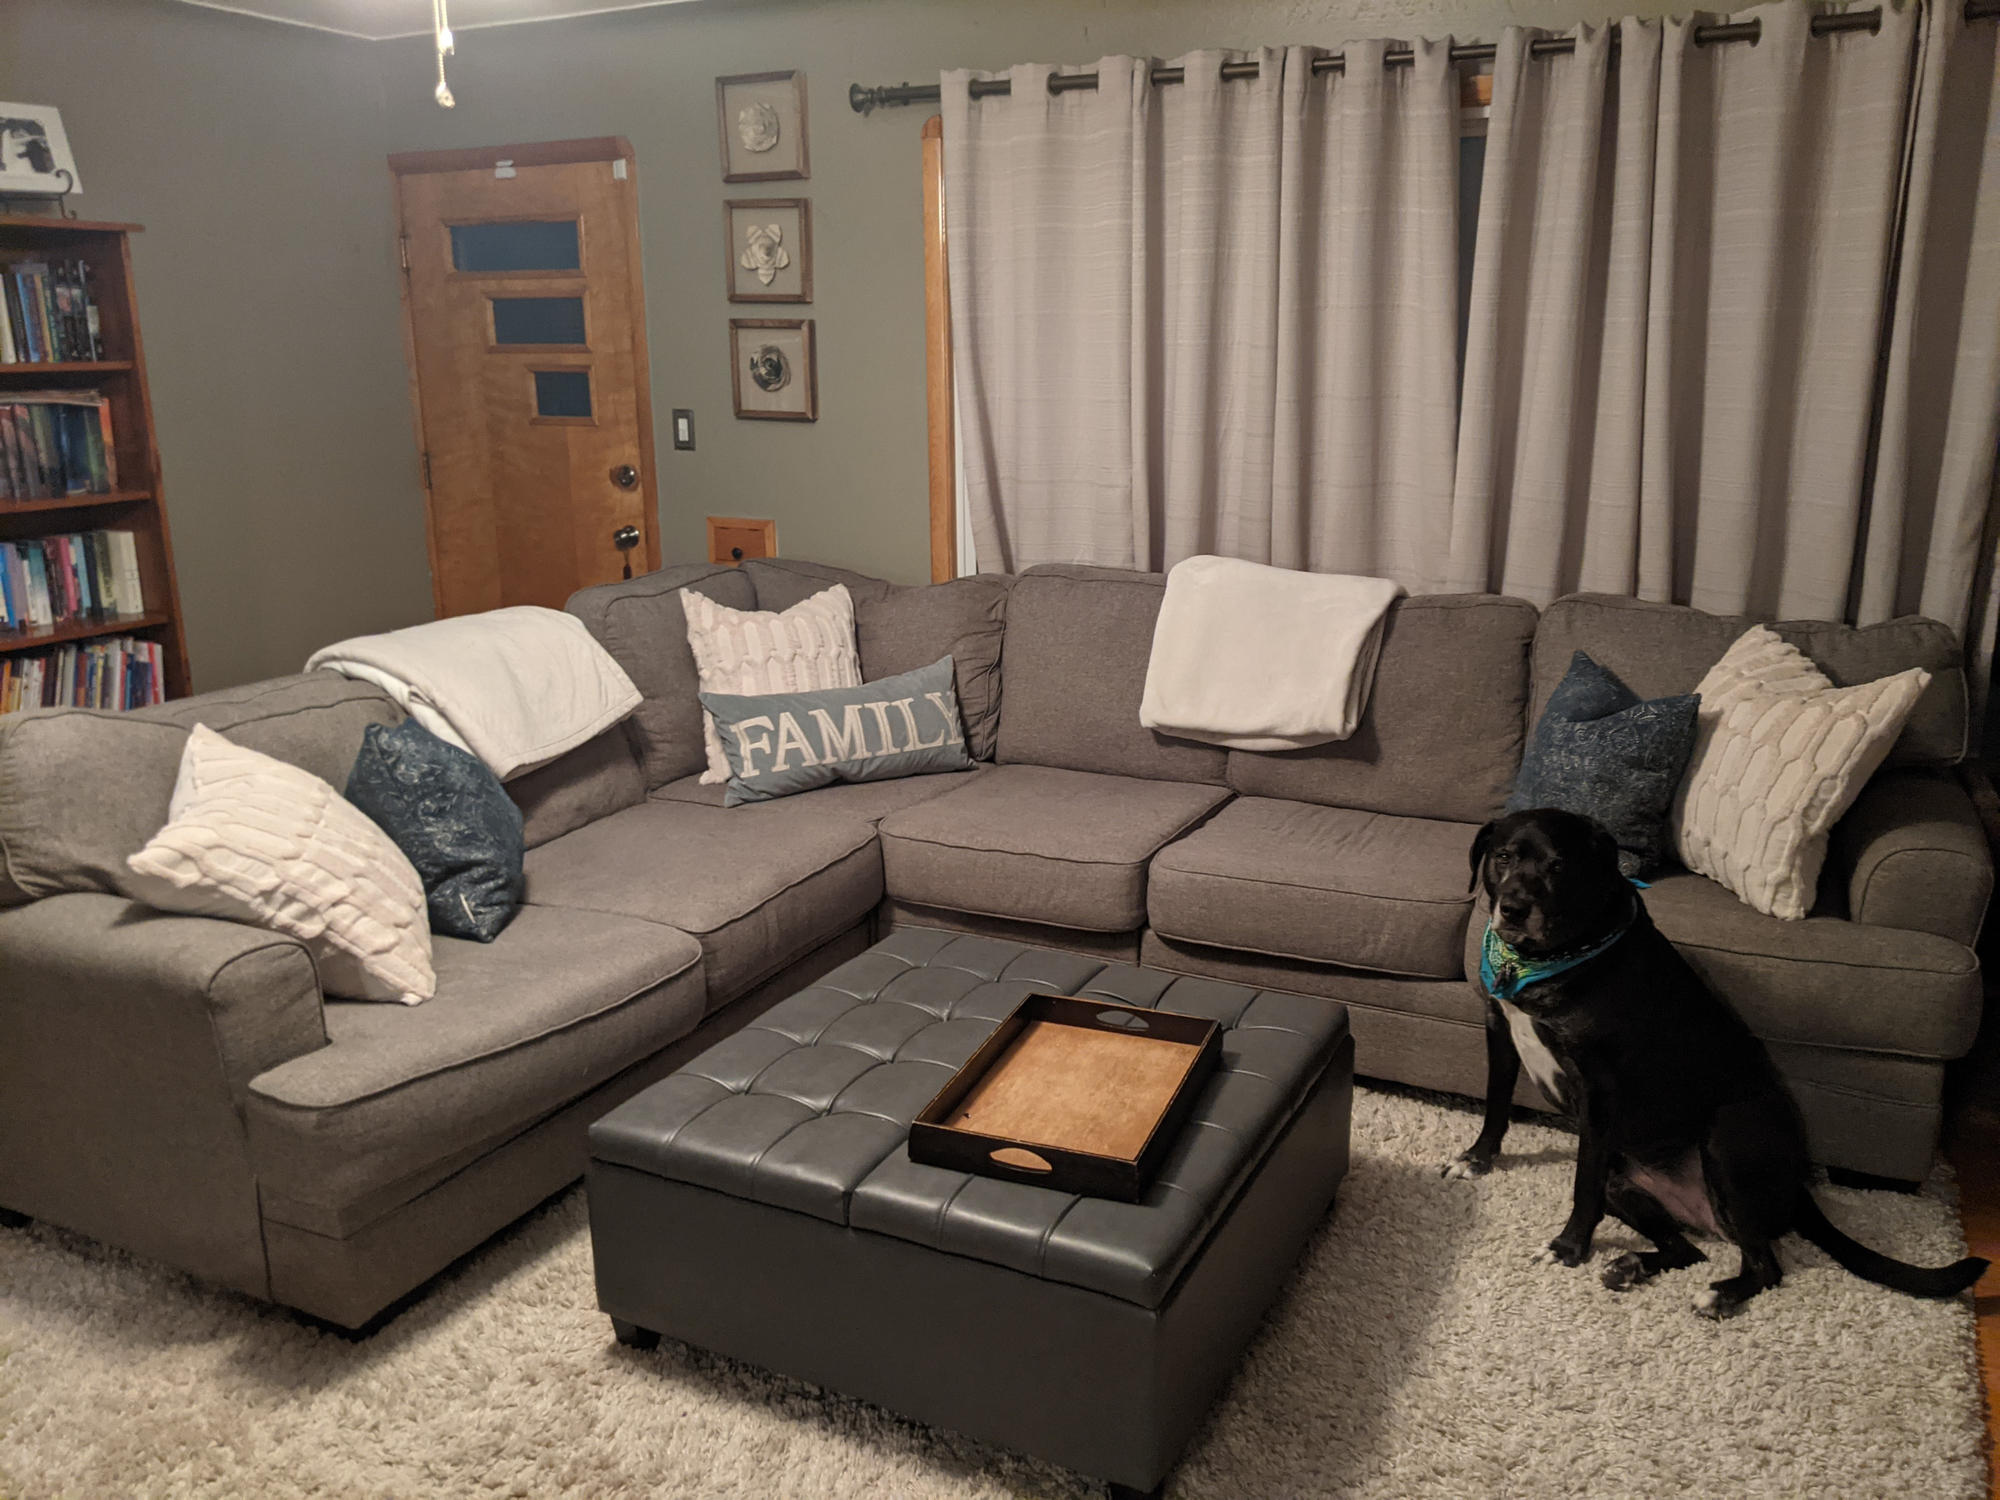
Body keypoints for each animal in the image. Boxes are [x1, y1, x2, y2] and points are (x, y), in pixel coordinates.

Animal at [1446, 806, 1987, 1318]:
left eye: (1559, 866)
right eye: (1503, 857)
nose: (1514, 908)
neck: (1549, 958)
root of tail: (1796, 1184)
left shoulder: (1598, 1086)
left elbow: (1583, 1185)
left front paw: (1568, 1247)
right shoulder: (1498, 1029)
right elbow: (1497, 1105)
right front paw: (1477, 1159)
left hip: (1727, 1140)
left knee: (1765, 1264)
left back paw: (1719, 1295)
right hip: (1625, 1184)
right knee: (1689, 1250)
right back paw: (1632, 1265)